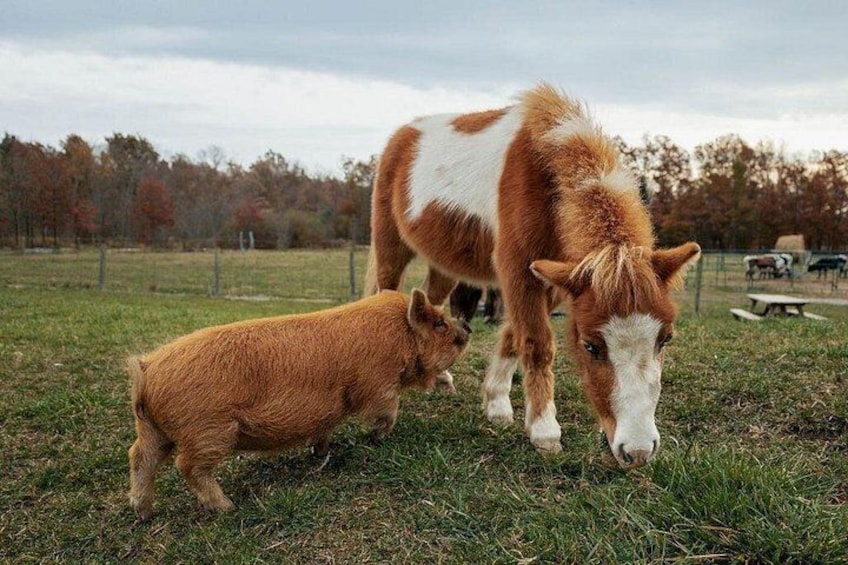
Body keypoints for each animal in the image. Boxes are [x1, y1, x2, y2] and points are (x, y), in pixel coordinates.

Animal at [365, 84, 700, 468]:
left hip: (444, 265)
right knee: (385, 292)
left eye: (666, 339)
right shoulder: (519, 271)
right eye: (590, 345)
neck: (543, 168)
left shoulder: (554, 278)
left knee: (427, 302)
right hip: (391, 247)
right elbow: (537, 344)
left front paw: (496, 403)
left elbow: (515, 335)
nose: (638, 451)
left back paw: (441, 376)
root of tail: (402, 136)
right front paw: (544, 431)